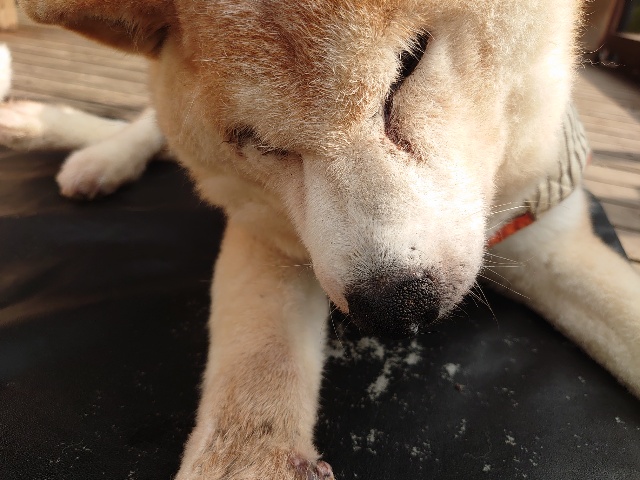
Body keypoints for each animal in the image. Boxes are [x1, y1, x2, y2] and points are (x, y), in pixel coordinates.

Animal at [2, 1, 640, 478]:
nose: (394, 306)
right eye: (259, 142)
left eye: (409, 62)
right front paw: (251, 460)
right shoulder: (270, 229)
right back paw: (91, 152)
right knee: (150, 121)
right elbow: (257, 375)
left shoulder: (548, 231)